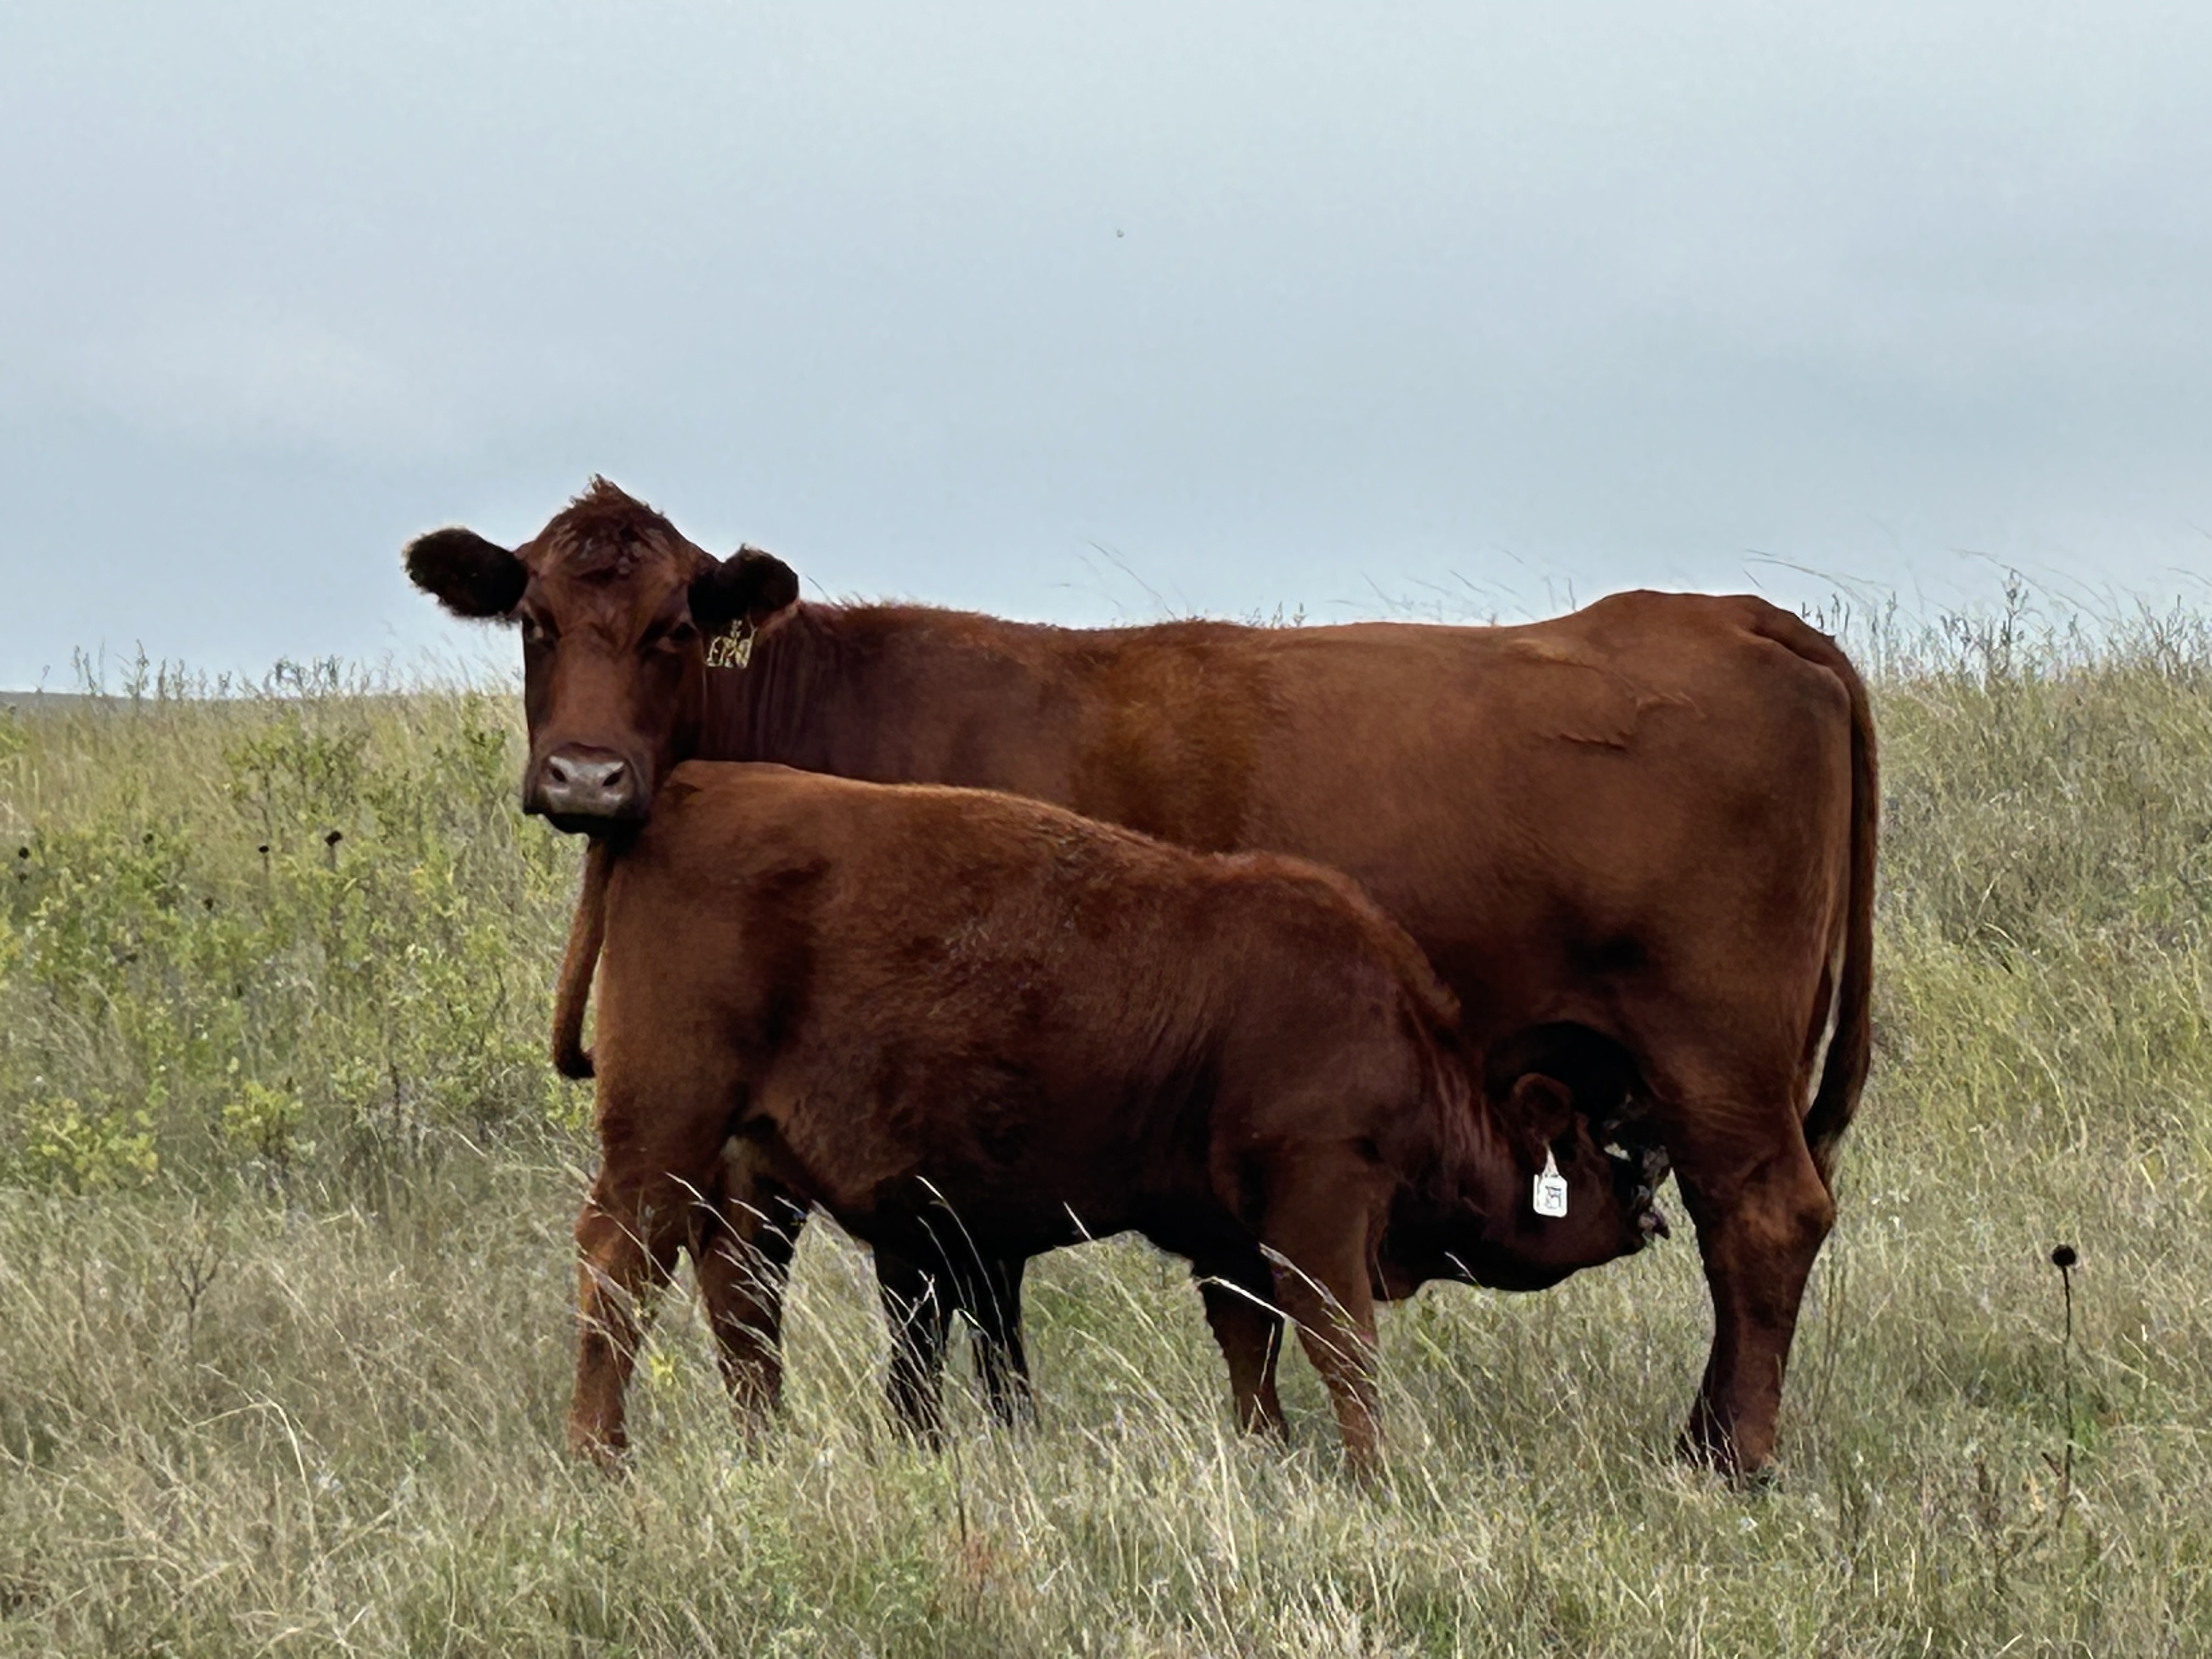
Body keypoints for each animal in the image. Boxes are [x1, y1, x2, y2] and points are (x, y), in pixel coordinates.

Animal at [555, 759, 1661, 1471]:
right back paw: (601, 1460)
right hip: (663, 1137)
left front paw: (1269, 1457)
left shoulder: (1227, 1240)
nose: (1650, 1201)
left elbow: (1251, 1351)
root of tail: (689, 789)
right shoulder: (1318, 1207)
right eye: (1587, 1145)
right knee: (620, 1273)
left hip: (743, 1168)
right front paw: (1374, 1476)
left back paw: (765, 1451)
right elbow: (1341, 1347)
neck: (1383, 1026)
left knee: (738, 1299)